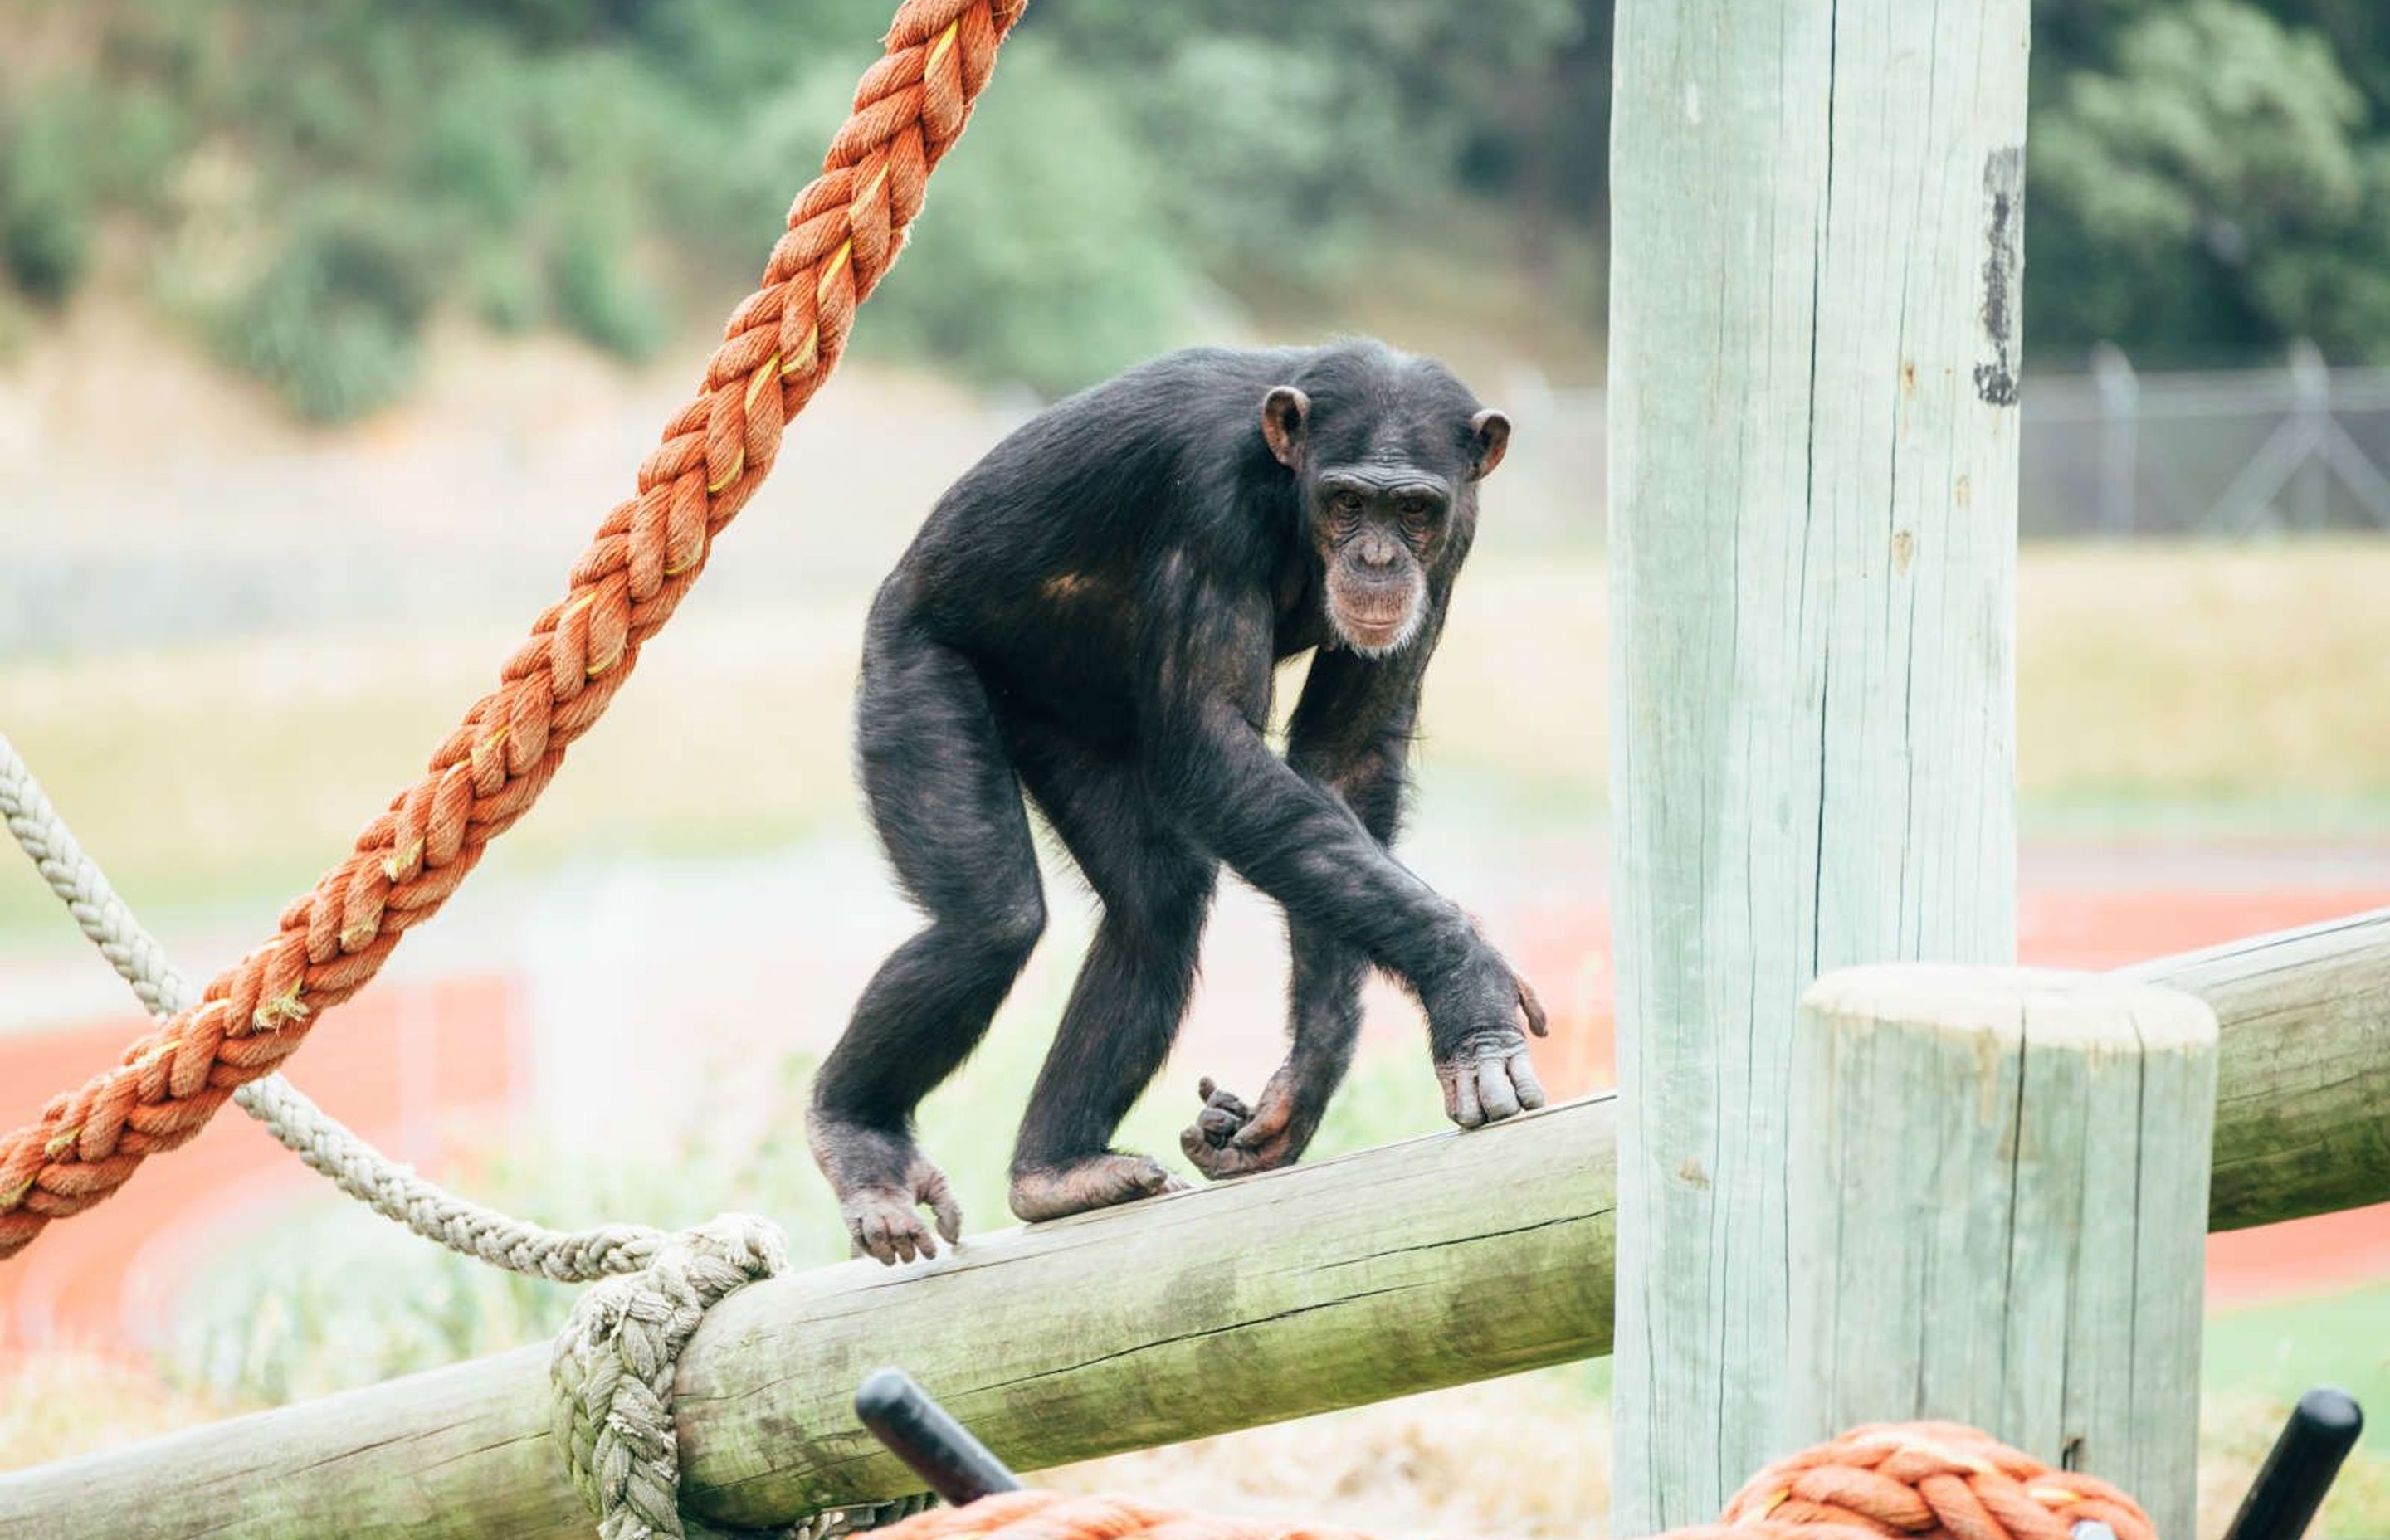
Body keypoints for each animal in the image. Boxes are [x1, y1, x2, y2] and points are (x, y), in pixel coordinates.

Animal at [802, 337, 1549, 1262]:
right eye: (1348, 501)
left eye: (1413, 508)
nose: (1378, 560)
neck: (1290, 491)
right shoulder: (1207, 503)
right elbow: (1213, 747)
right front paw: (1466, 982)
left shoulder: (1454, 543)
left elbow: (1338, 761)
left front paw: (1304, 1079)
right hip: (910, 663)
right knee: (989, 922)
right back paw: (860, 1136)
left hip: (1065, 726)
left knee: (1156, 903)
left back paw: (1057, 1172)